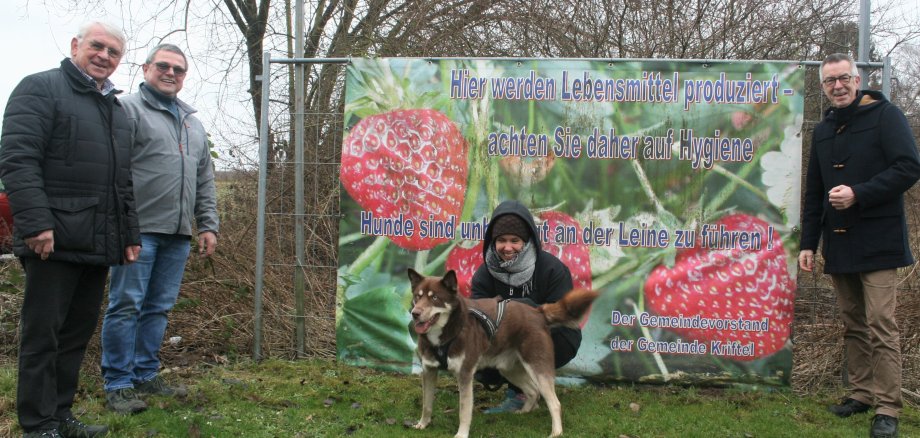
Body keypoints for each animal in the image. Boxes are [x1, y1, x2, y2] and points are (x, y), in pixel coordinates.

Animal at [408, 266, 596, 438]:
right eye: (417, 296)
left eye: (435, 298)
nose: (415, 313)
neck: (445, 334)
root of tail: (538, 312)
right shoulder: (428, 370)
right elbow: (426, 404)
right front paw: (422, 424)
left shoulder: (465, 374)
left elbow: (464, 410)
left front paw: (461, 434)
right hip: (509, 369)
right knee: (533, 391)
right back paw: (524, 412)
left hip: (537, 367)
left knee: (554, 403)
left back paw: (556, 432)